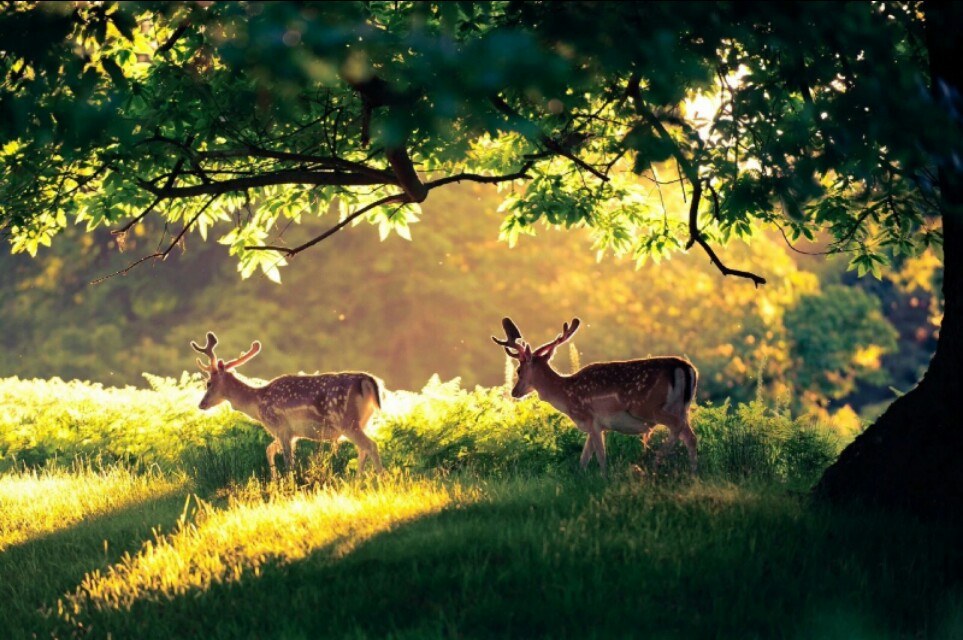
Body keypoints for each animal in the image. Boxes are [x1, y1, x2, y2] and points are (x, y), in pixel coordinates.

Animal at [190, 332, 382, 478]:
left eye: (208, 383)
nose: (201, 404)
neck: (258, 405)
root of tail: (367, 381)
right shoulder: (291, 433)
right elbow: (269, 450)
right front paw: (276, 481)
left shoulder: (281, 427)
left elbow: (288, 462)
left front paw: (289, 485)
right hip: (364, 421)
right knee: (363, 449)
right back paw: (356, 483)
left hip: (347, 421)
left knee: (371, 445)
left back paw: (382, 479)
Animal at [494, 318, 696, 472]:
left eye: (519, 370)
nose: (514, 392)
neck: (565, 395)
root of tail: (685, 368)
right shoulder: (597, 426)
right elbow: (583, 459)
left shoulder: (592, 419)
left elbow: (600, 457)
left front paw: (604, 478)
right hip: (681, 408)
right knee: (690, 437)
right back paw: (693, 472)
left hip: (648, 407)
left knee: (677, 427)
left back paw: (655, 461)